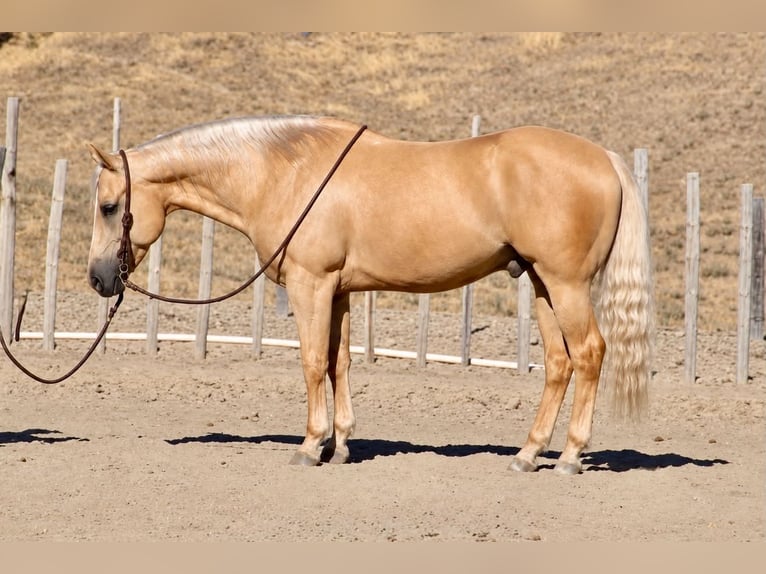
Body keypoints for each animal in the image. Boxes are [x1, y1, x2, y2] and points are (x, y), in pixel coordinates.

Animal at [87, 115, 653, 475]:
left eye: (110, 207)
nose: (97, 279)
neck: (285, 173)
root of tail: (603, 157)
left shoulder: (311, 284)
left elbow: (312, 362)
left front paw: (310, 446)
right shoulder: (336, 290)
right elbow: (339, 363)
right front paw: (340, 446)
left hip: (566, 284)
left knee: (589, 354)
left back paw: (570, 457)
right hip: (541, 284)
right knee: (559, 363)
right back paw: (528, 454)